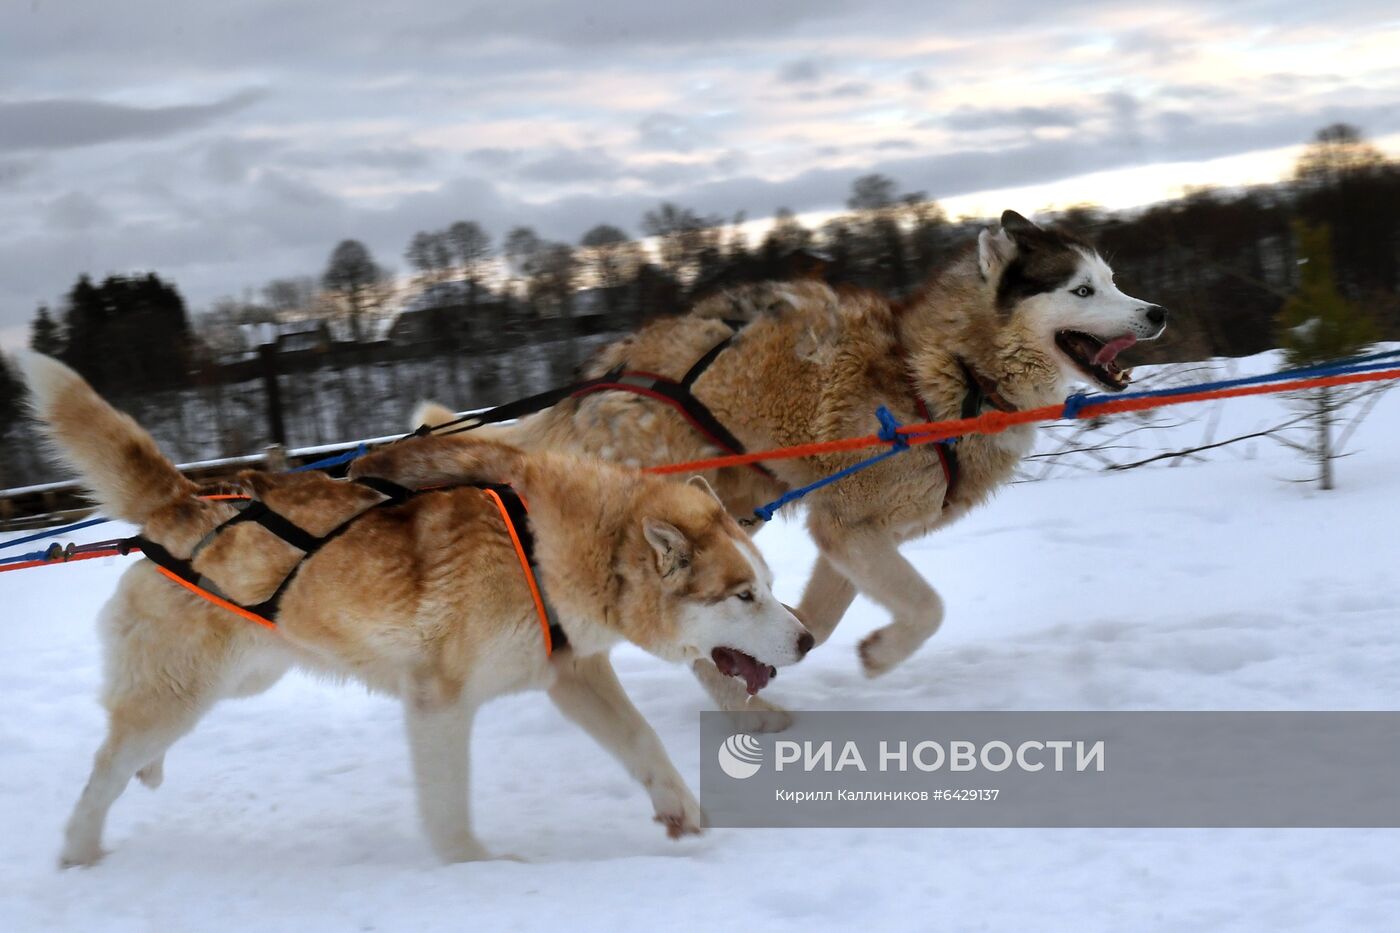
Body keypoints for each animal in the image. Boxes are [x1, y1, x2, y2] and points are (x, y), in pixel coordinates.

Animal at [19, 353, 812, 862]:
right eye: (743, 594)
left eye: (768, 582)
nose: (806, 639)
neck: (545, 540)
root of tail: (183, 500)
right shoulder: (439, 701)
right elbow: (448, 803)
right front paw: (472, 865)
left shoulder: (572, 675)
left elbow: (644, 744)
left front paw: (684, 813)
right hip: (184, 689)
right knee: (106, 765)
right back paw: (78, 851)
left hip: (245, 674)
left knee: (135, 743)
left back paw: (143, 778)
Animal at [420, 208, 1164, 717]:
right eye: (1081, 290)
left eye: (1112, 280)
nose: (1155, 311)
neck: (945, 373)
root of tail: (593, 384)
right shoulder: (850, 527)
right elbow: (927, 606)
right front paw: (879, 656)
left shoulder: (849, 535)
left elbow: (820, 616)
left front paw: (792, 638)